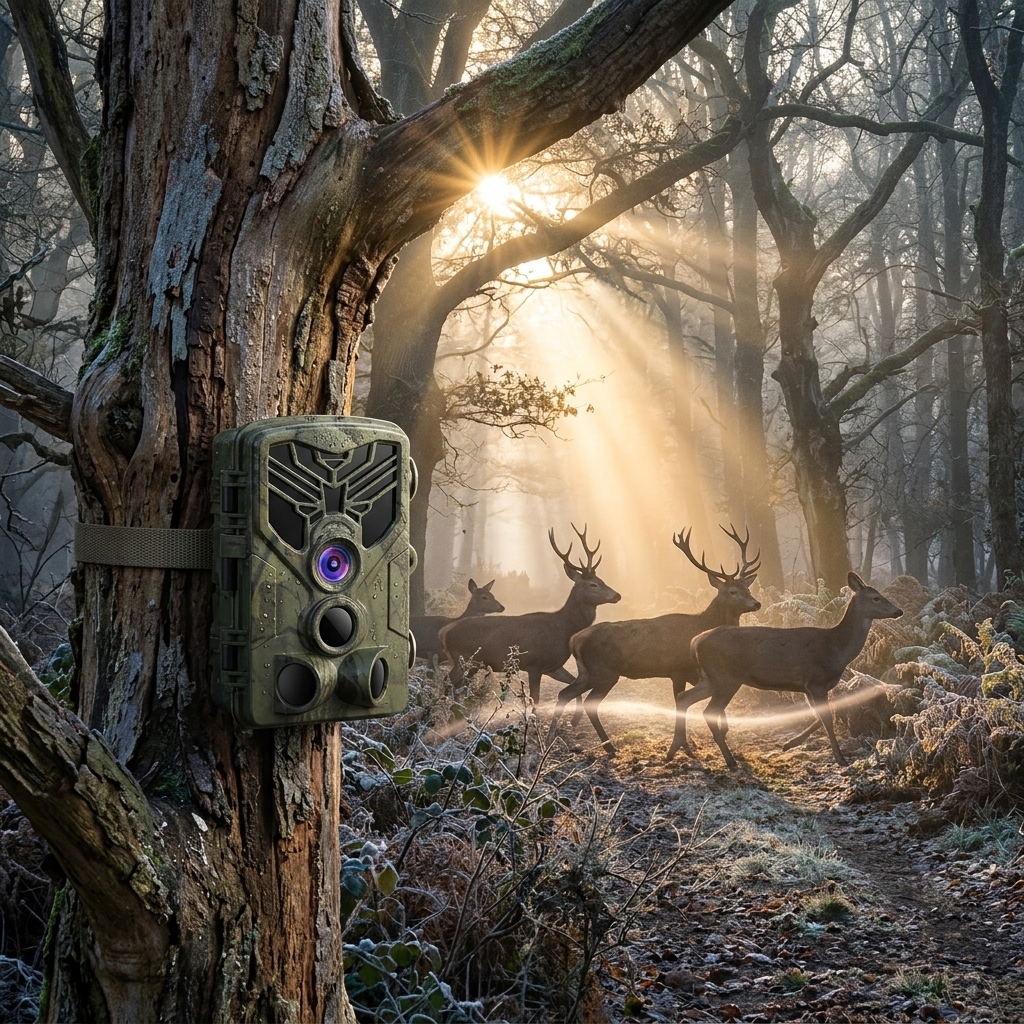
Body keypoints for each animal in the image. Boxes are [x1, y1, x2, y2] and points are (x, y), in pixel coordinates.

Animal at [439, 524, 620, 703]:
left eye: (602, 580)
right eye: (593, 584)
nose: (617, 595)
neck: (563, 629)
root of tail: (444, 632)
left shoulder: (553, 667)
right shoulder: (534, 664)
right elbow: (536, 699)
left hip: (472, 664)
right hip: (462, 658)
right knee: (447, 682)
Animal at [546, 525, 762, 755]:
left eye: (748, 588)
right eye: (732, 591)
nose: (756, 603)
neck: (701, 624)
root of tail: (575, 640)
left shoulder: (693, 672)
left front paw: (716, 733)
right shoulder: (678, 669)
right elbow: (680, 702)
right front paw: (685, 745)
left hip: (587, 673)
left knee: (565, 693)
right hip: (604, 672)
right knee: (589, 702)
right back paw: (609, 747)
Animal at [672, 572, 903, 768]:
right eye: (875, 597)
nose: (898, 611)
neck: (836, 650)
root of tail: (696, 641)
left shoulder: (808, 687)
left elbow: (819, 716)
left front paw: (790, 743)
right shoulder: (816, 681)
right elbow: (827, 718)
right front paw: (840, 758)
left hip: (710, 679)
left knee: (683, 697)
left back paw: (675, 750)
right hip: (726, 677)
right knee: (708, 711)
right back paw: (729, 760)